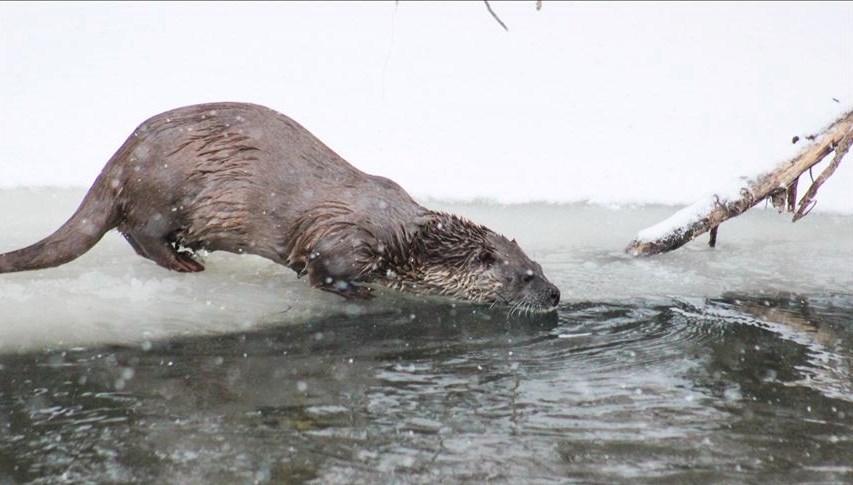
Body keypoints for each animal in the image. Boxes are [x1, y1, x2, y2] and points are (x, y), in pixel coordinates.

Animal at [1, 104, 560, 312]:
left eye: (538, 263)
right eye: (524, 276)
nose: (555, 293)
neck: (405, 240)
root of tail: (118, 159)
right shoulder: (345, 241)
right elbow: (319, 271)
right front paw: (361, 294)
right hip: (161, 194)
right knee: (140, 234)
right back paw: (186, 262)